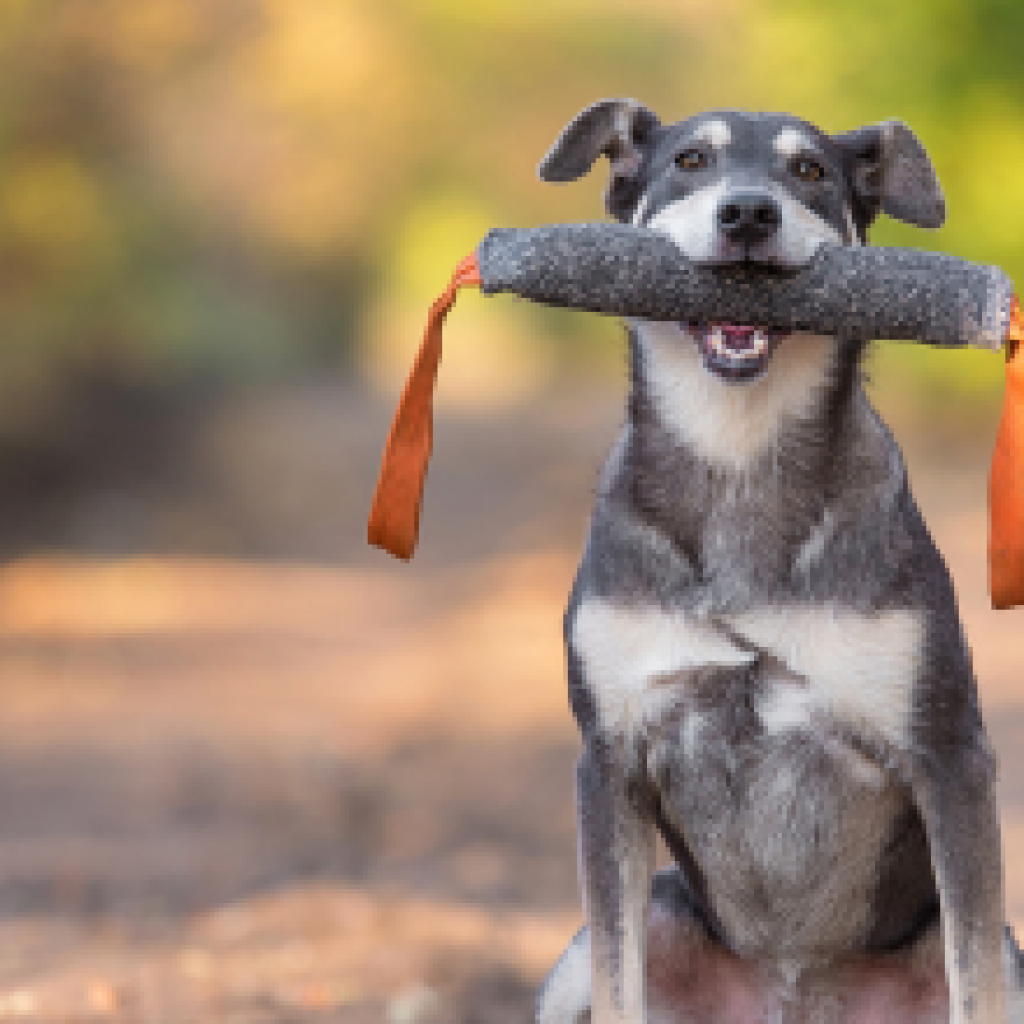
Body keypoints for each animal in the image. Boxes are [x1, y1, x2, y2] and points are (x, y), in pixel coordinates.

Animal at [536, 101, 1024, 1024]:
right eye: (691, 160)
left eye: (810, 173)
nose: (749, 215)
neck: (739, 454)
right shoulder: (607, 762)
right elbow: (621, 977)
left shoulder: (950, 758)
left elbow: (973, 966)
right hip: (603, 944)